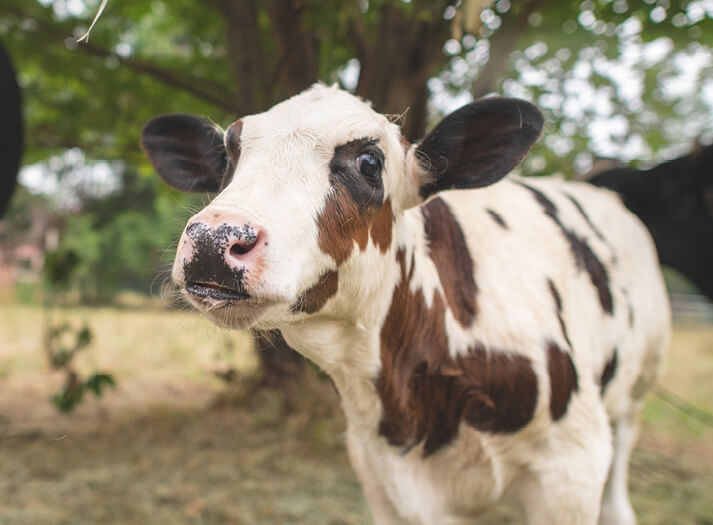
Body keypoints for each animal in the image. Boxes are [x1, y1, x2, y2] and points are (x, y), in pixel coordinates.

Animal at [141, 84, 671, 525]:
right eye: (229, 158)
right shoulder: (380, 478)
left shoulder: (571, 469)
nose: (214, 239)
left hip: (634, 393)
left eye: (370, 162)